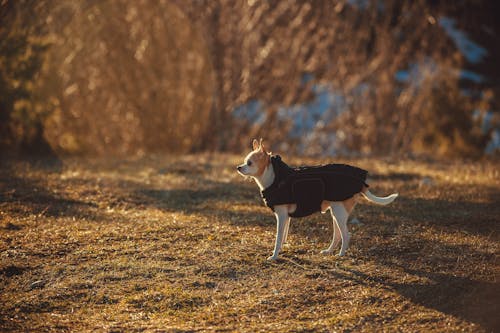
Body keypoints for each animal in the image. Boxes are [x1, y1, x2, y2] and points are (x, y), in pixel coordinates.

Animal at [238, 137, 398, 260]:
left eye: (249, 163)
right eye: (245, 161)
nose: (238, 167)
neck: (275, 177)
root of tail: (361, 183)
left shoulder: (281, 216)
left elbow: (278, 238)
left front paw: (274, 256)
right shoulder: (286, 217)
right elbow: (283, 236)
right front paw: (282, 249)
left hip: (339, 212)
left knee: (346, 235)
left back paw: (341, 254)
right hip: (336, 212)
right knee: (338, 235)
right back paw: (329, 251)